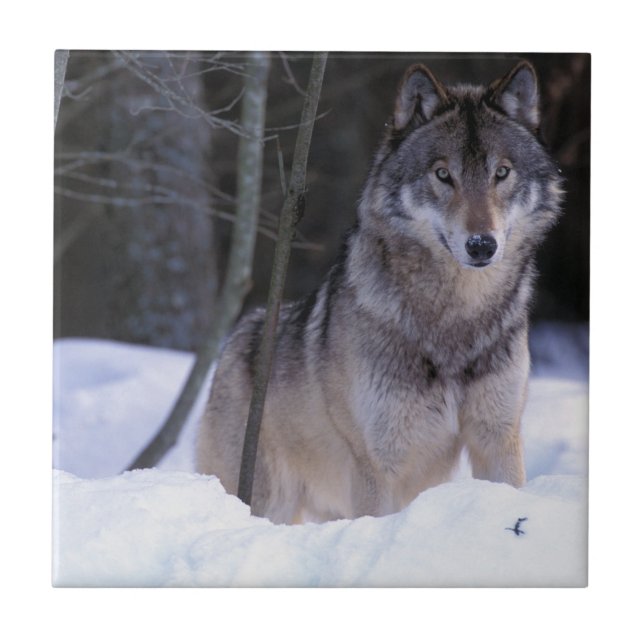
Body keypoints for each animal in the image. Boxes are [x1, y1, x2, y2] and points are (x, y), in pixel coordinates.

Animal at [196, 60, 563, 524]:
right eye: (443, 174)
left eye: (501, 172)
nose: (482, 245)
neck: (456, 319)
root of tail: (236, 337)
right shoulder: (378, 463)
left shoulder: (498, 438)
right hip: (269, 499)